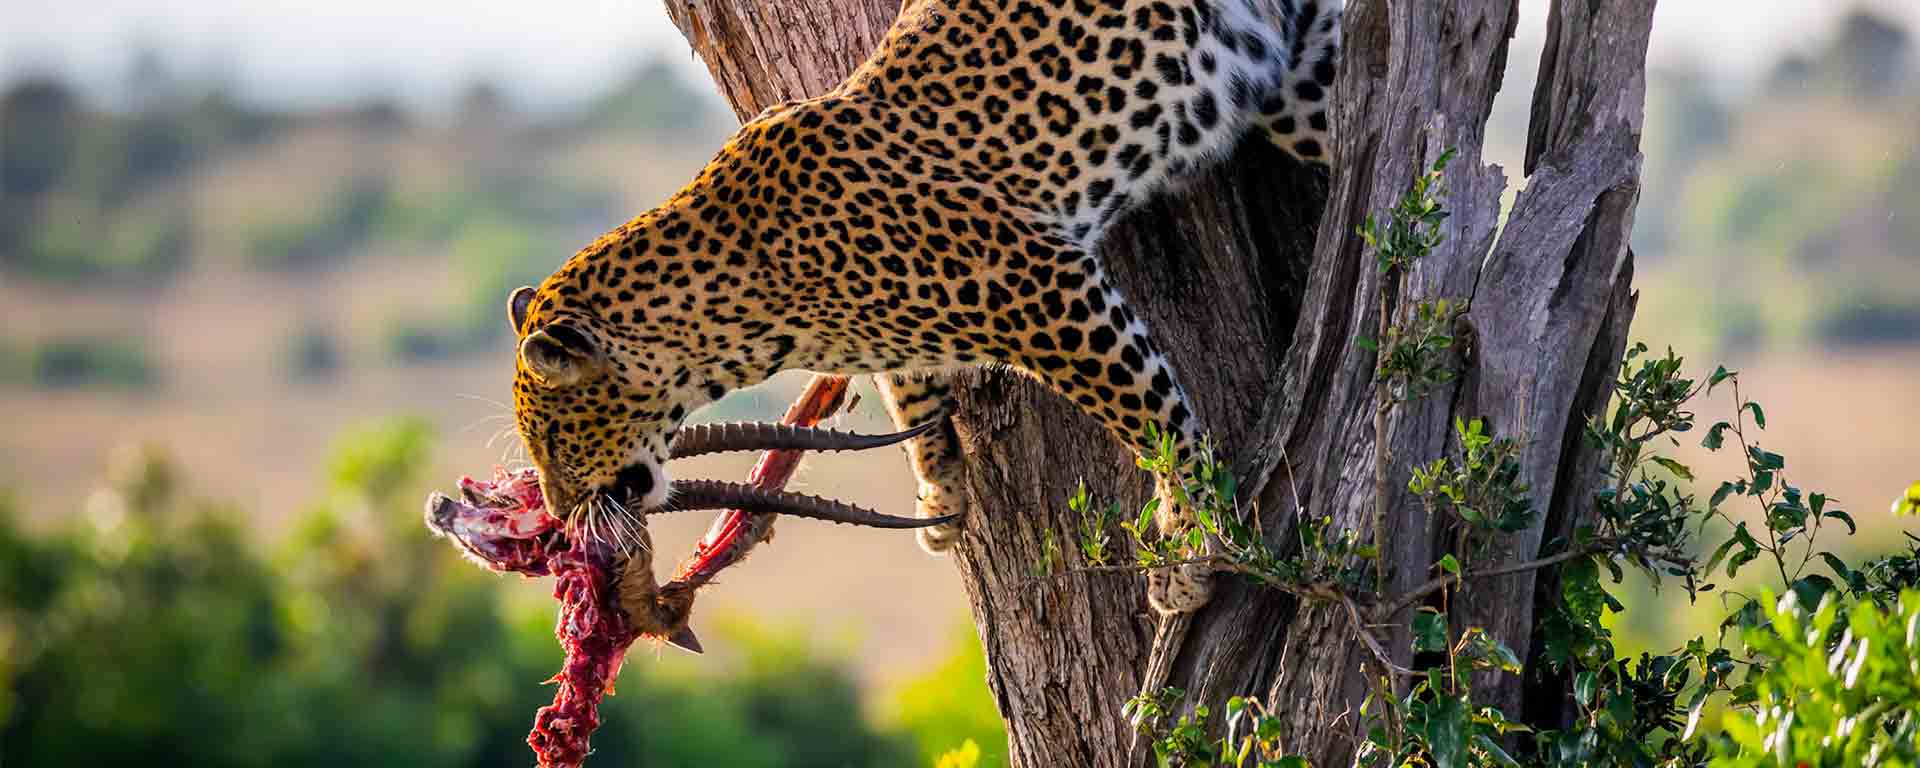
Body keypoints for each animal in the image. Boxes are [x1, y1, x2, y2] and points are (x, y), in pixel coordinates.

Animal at [506, 0, 1342, 623]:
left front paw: (1191, 549)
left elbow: (1154, 420)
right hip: (1298, 85)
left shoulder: (1043, 286)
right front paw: (940, 491)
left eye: (551, 441)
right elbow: (909, 386)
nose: (557, 512)